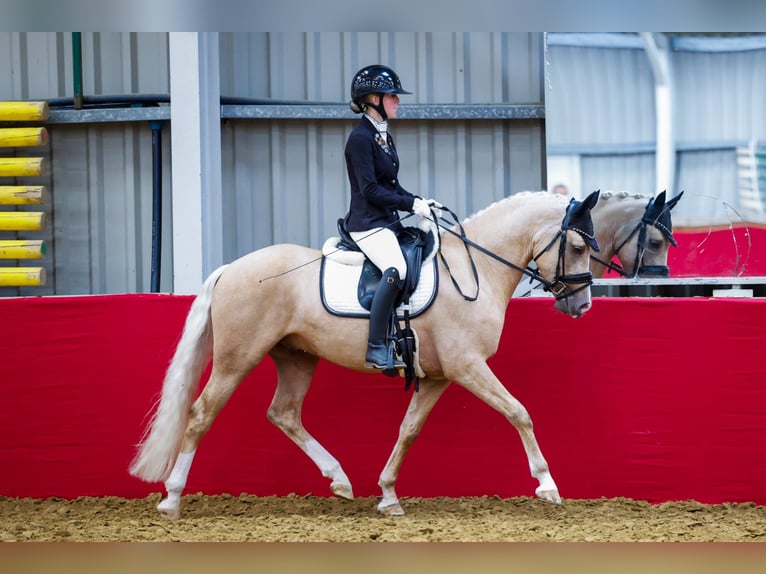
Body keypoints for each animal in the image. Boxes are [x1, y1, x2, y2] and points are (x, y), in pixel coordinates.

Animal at [129, 190, 604, 520]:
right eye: (579, 248)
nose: (582, 306)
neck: (476, 270)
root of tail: (232, 267)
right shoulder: (467, 365)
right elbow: (519, 412)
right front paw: (548, 485)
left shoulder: (438, 376)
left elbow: (408, 430)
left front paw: (389, 495)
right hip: (237, 357)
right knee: (201, 414)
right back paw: (172, 499)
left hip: (297, 356)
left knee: (284, 413)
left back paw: (339, 480)